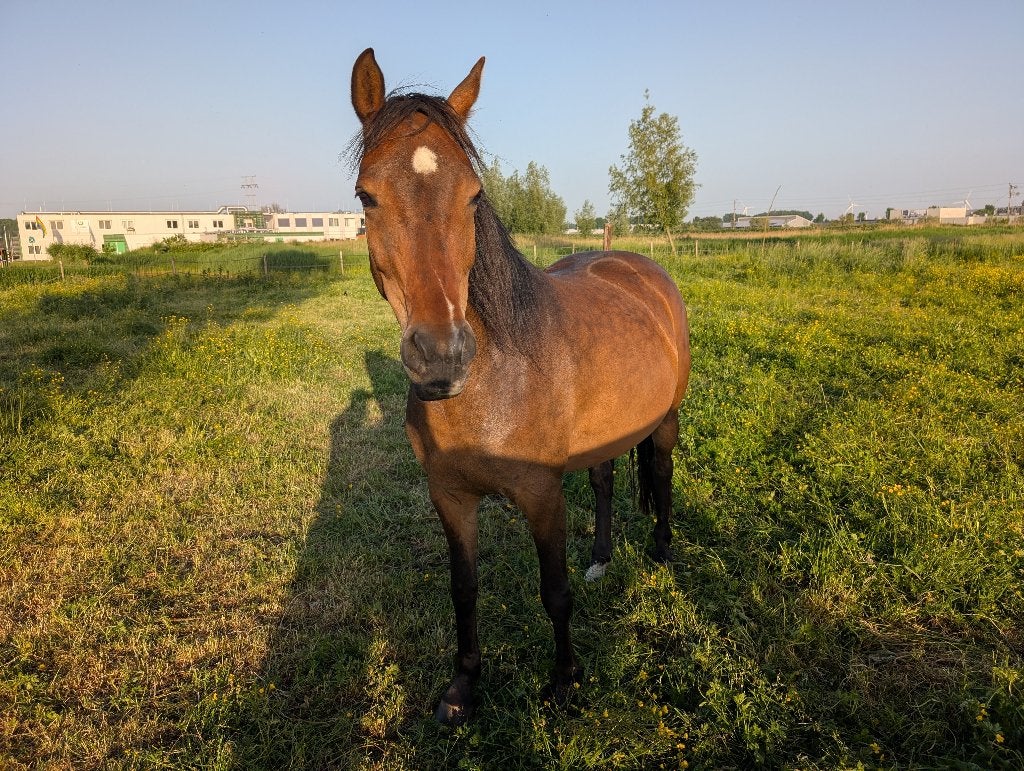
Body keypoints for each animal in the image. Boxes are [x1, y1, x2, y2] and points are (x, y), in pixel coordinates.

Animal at [349, 48, 691, 726]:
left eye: (474, 194)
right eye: (366, 195)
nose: (441, 356)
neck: (488, 388)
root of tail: (643, 267)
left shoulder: (541, 496)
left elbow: (553, 592)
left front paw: (564, 681)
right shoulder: (451, 497)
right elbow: (464, 589)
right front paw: (463, 687)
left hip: (664, 422)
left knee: (661, 473)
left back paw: (661, 551)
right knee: (605, 479)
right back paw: (602, 559)